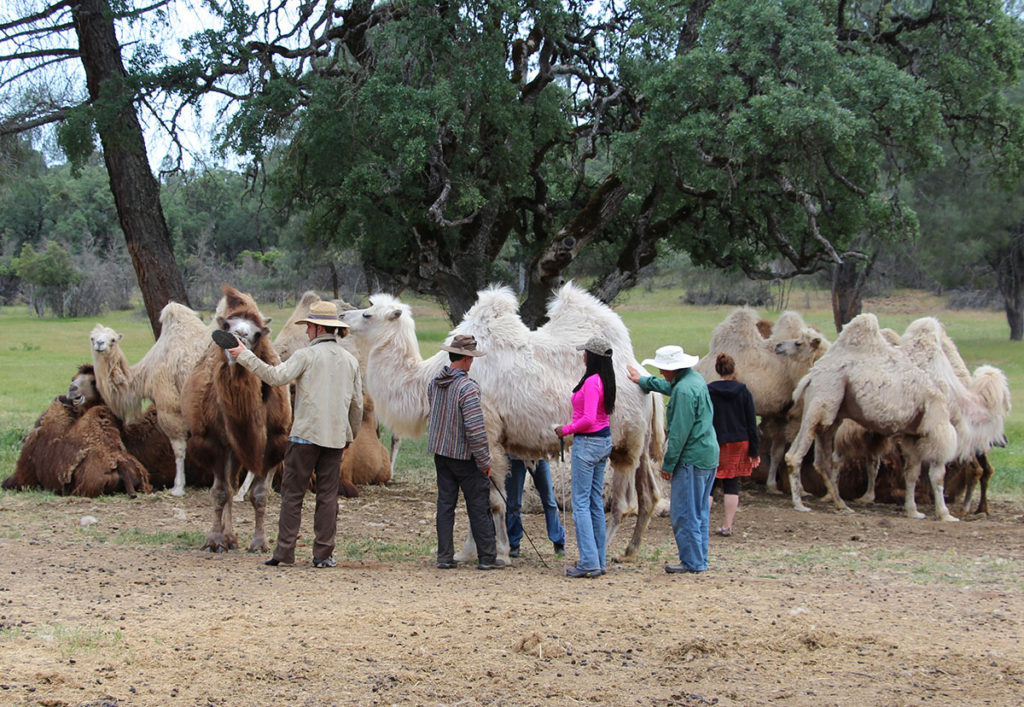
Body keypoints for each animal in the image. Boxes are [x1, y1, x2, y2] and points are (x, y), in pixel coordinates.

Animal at [91, 303, 210, 495]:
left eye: (113, 339)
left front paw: (178, 488)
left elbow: (178, 449)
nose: (99, 344)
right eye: (92, 337)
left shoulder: (168, 405)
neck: (145, 373)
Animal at [180, 282, 290, 549]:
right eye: (226, 326)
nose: (237, 338)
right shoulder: (213, 442)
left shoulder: (272, 443)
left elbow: (259, 495)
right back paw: (228, 538)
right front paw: (213, 540)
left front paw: (260, 543)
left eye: (258, 333)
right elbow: (220, 492)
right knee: (228, 487)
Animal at [339, 280, 667, 561]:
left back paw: (604, 550)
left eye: (368, 313)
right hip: (639, 443)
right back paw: (629, 552)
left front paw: (499, 552)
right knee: (649, 495)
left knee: (624, 504)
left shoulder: (488, 433)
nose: (342, 315)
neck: (426, 378)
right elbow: (478, 499)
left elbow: (492, 501)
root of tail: (640, 375)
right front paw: (468, 552)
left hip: (623, 443)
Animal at [696, 305, 831, 493]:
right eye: (798, 343)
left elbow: (777, 451)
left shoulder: (780, 413)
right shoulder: (795, 414)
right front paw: (801, 489)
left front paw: (772, 485)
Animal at [782, 313, 958, 518]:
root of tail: (810, 377)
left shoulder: (913, 433)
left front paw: (913, 511)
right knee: (795, 455)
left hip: (828, 412)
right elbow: (938, 475)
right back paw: (800, 504)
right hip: (823, 400)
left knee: (822, 460)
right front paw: (945, 514)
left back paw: (842, 505)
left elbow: (911, 472)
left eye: (798, 343)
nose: (778, 347)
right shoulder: (937, 424)